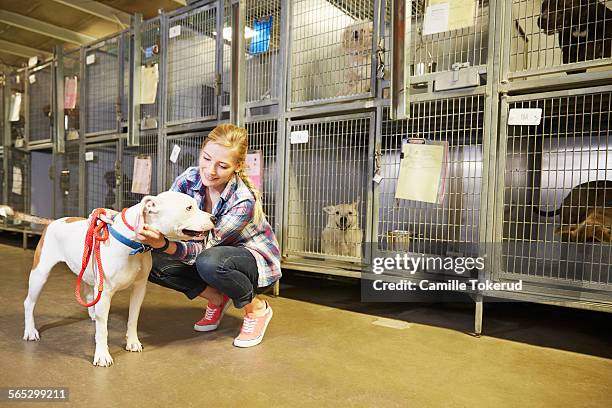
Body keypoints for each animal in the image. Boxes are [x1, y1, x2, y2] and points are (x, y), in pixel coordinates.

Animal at [21, 193, 216, 368]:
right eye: (189, 208)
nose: (214, 217)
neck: (134, 244)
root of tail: (53, 222)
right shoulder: (105, 292)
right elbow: (103, 331)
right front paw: (102, 356)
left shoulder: (139, 288)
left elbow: (133, 318)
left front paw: (132, 342)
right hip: (40, 274)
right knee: (29, 303)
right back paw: (30, 331)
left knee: (89, 294)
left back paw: (93, 314)